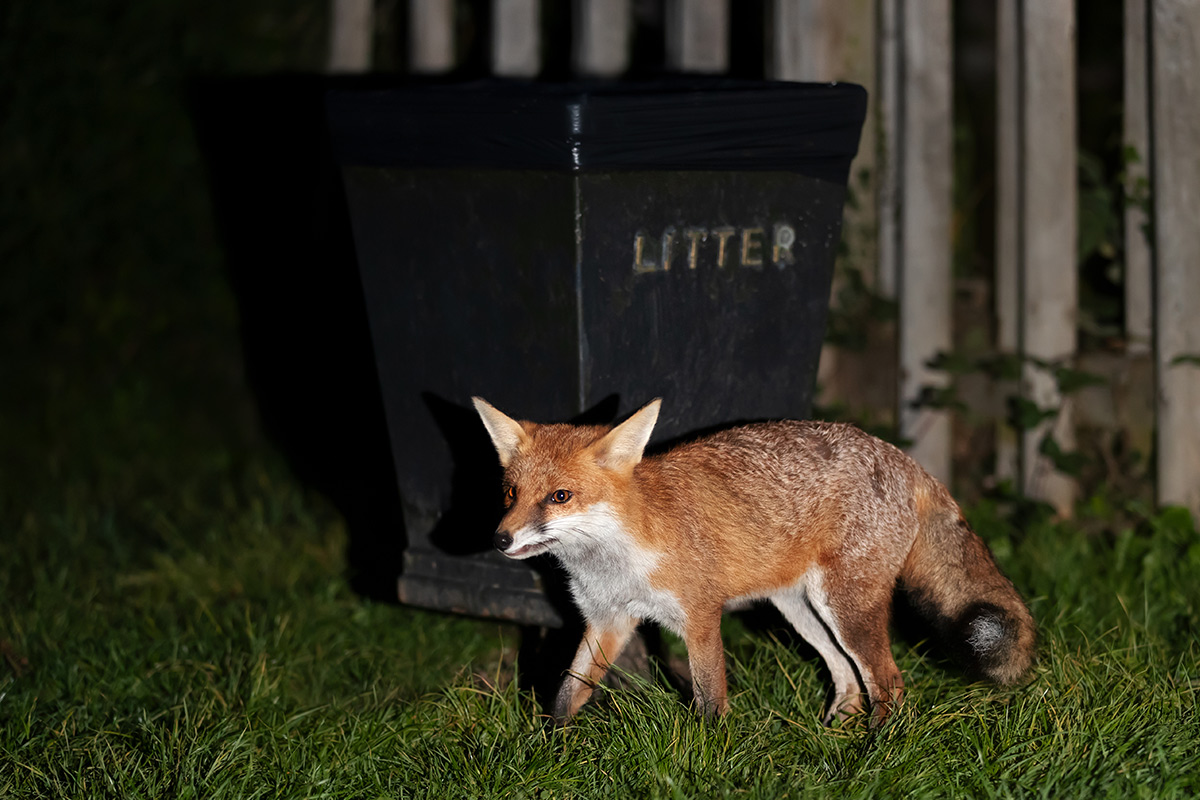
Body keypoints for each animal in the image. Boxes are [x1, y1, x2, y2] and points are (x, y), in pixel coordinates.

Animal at [472, 396, 1036, 727]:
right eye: (511, 492)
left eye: (560, 496)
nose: (499, 539)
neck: (616, 561)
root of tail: (904, 459)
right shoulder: (606, 621)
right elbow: (567, 694)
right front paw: (548, 750)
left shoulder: (699, 619)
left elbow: (709, 701)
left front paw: (704, 760)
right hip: (800, 609)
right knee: (847, 675)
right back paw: (838, 730)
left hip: (846, 609)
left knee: (890, 683)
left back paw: (875, 753)